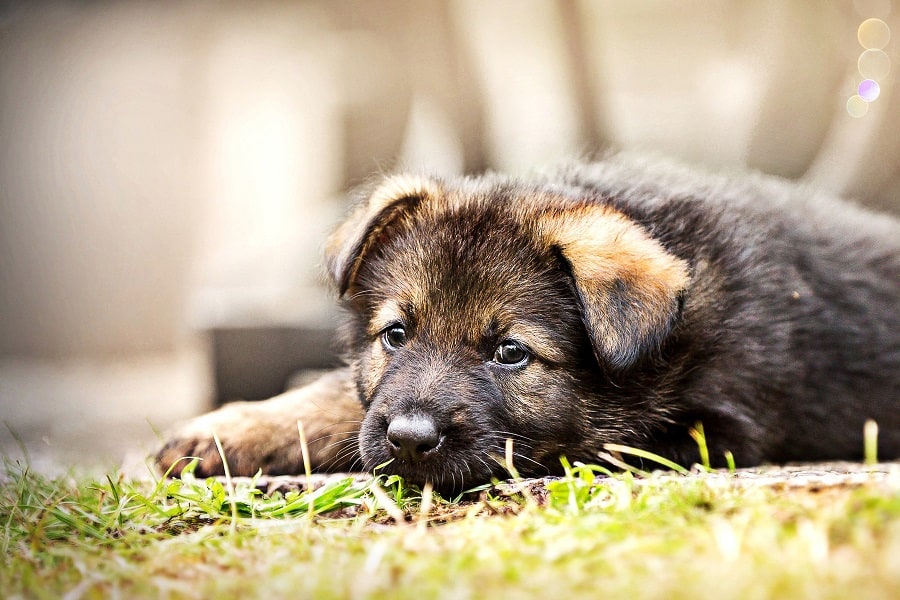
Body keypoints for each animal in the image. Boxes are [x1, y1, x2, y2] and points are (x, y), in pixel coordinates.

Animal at [156, 154, 900, 492]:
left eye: (511, 353)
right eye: (396, 335)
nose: (409, 439)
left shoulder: (709, 427)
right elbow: (342, 397)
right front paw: (230, 430)